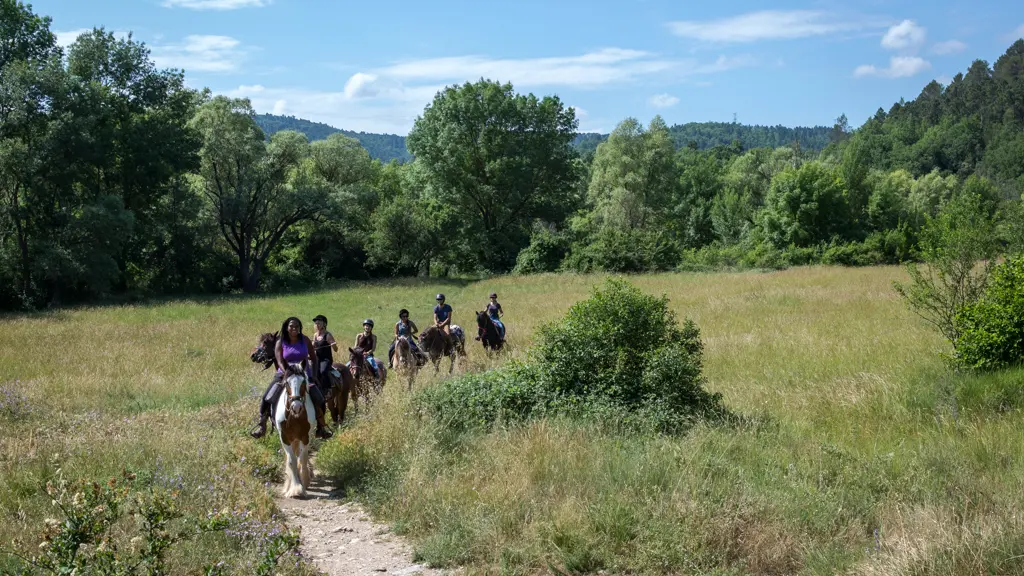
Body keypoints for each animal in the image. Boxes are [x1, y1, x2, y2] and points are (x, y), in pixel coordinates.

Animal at [274, 362, 313, 498]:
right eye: (287, 383)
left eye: (303, 382)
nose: (296, 407)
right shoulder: (284, 437)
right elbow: (292, 461)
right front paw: (295, 488)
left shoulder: (306, 436)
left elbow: (303, 458)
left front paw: (304, 482)